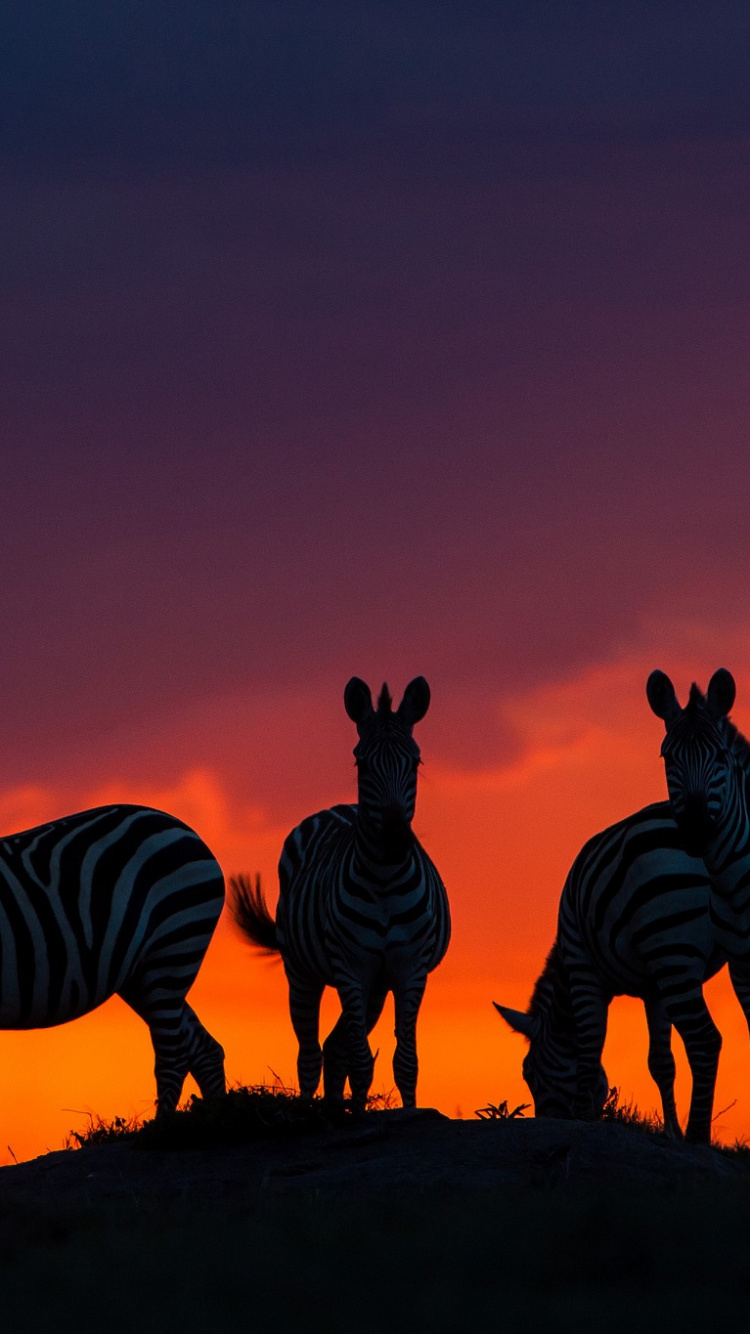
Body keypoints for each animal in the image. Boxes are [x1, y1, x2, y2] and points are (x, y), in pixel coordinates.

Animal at [0, 804, 226, 1113]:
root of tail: (185, 828)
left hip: (171, 951)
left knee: (173, 1059)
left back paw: (163, 1125)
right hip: (143, 974)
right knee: (204, 1049)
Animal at [230, 676, 451, 1111]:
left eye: (416, 762)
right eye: (361, 764)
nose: (396, 839)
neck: (385, 881)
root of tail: (339, 807)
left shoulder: (409, 969)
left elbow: (405, 1061)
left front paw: (408, 1112)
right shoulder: (351, 969)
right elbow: (361, 1061)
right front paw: (360, 1115)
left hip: (376, 987)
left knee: (335, 1048)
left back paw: (335, 1106)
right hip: (302, 973)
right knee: (311, 1052)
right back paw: (314, 1109)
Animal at [496, 801, 725, 1141]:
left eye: (529, 1074)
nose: (548, 1122)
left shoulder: (583, 970)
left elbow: (589, 1053)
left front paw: (583, 1120)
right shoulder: (655, 991)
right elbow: (661, 1063)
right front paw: (671, 1133)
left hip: (672, 947)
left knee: (704, 1041)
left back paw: (698, 1138)